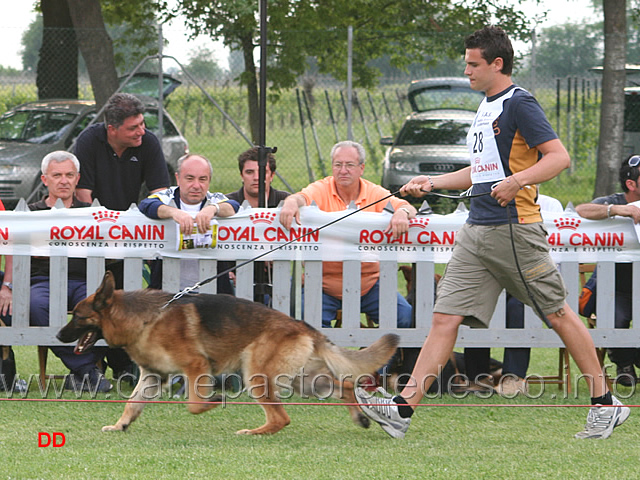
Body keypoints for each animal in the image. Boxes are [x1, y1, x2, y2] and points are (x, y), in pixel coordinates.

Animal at [57, 274, 398, 436]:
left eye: (78, 316)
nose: (59, 336)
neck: (144, 319)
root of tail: (305, 327)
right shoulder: (153, 377)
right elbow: (132, 403)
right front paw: (121, 426)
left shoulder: (196, 366)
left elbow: (194, 404)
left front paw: (214, 400)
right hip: (304, 381)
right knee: (345, 386)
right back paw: (359, 417)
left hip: (256, 374)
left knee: (281, 417)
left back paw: (254, 432)